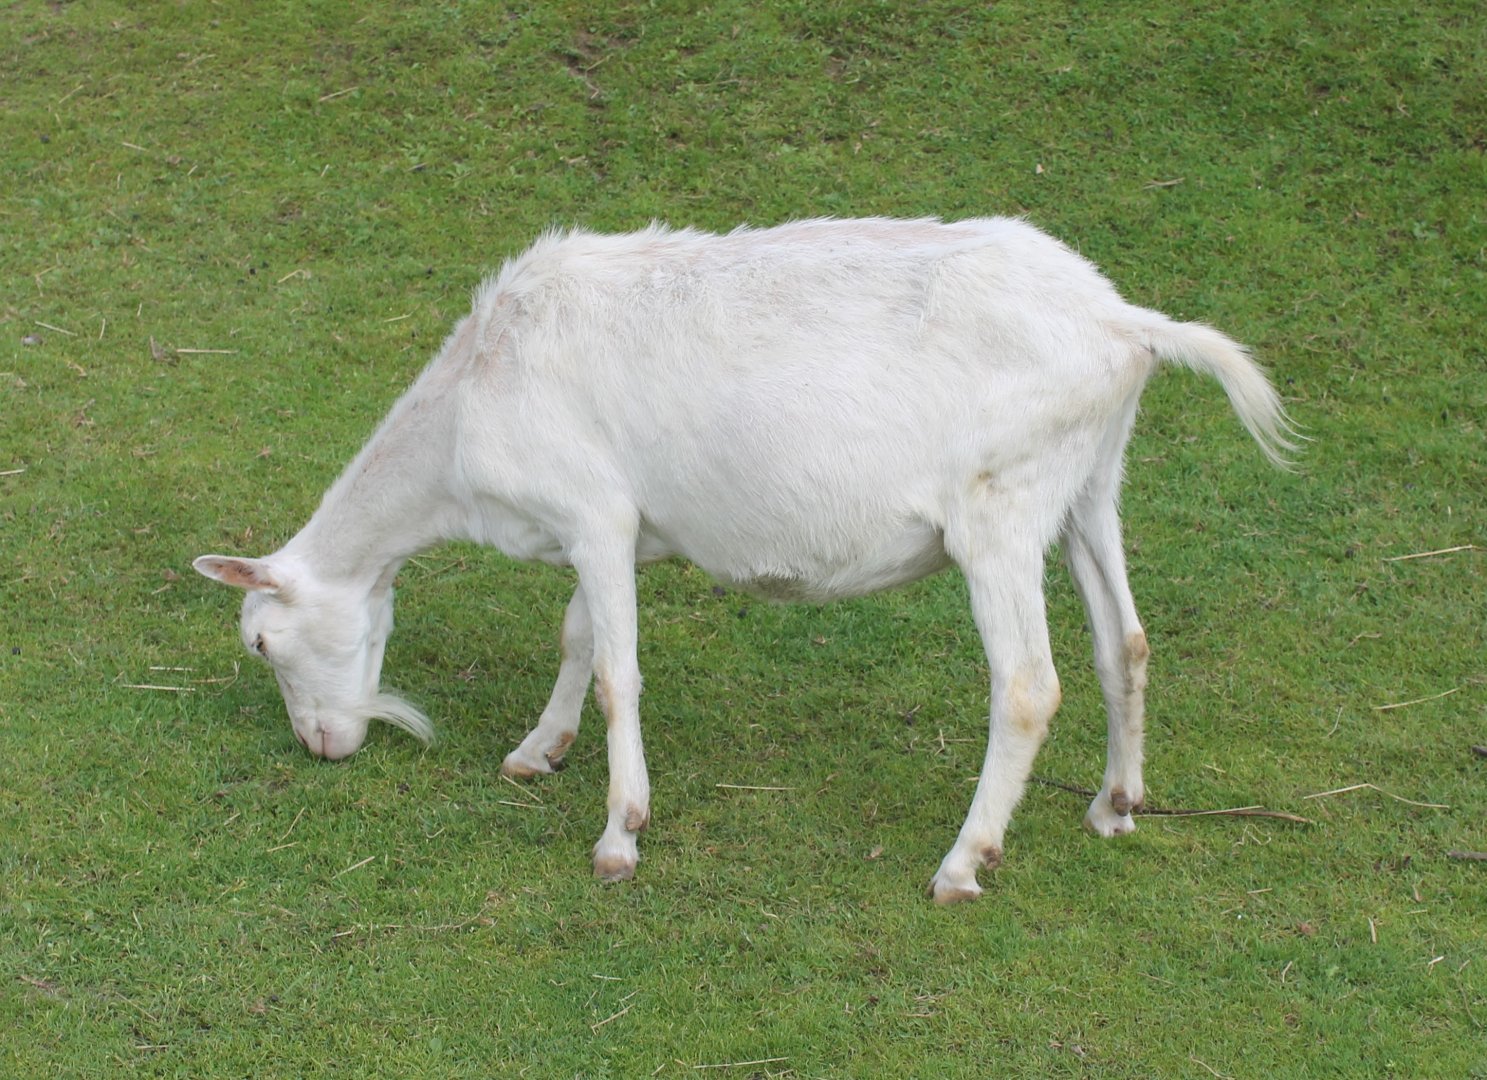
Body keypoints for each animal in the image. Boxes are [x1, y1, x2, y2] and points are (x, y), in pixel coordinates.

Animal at [194, 217, 1294, 902]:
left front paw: (618, 837)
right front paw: (535, 751)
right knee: (1126, 644)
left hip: (1000, 508)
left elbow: (616, 673)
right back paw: (1114, 807)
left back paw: (962, 861)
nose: (322, 747)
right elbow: (577, 637)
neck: (468, 410)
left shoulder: (593, 512)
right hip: (1087, 486)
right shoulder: (621, 527)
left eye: (261, 644)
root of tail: (1125, 323)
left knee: (1027, 686)